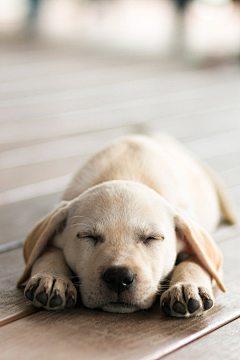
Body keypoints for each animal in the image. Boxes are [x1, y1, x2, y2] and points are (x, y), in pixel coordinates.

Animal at [17, 134, 236, 316]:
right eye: (87, 236)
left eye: (153, 238)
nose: (118, 277)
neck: (126, 172)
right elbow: (47, 250)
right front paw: (51, 278)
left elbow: (197, 260)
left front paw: (186, 286)